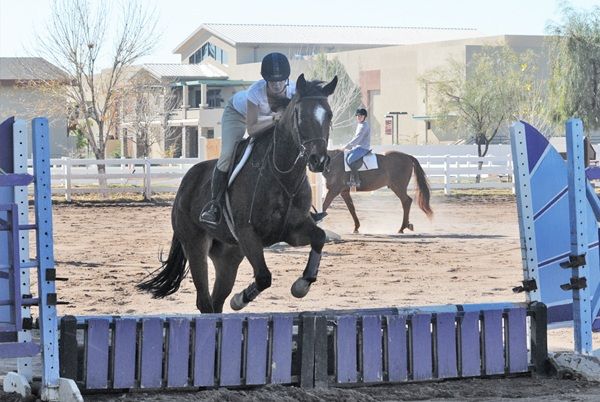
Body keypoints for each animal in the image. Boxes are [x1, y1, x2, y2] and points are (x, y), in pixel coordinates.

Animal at [138, 75, 340, 314]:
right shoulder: (247, 234)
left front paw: (302, 285)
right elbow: (263, 277)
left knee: (216, 301)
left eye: (329, 115)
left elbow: (319, 236)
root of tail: (185, 184)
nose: (319, 160)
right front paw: (239, 300)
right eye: (300, 115)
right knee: (204, 300)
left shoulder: (293, 231)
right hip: (195, 245)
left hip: (229, 255)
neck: (283, 175)